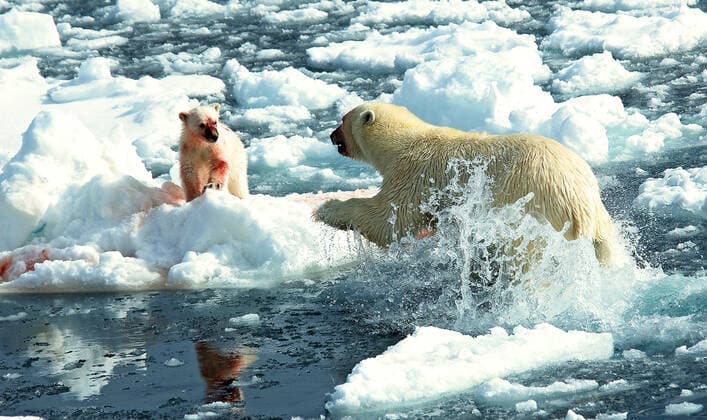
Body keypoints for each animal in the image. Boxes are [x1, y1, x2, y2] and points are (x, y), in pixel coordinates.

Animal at [315, 102, 620, 267]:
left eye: (342, 120)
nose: (331, 135)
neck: (404, 143)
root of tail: (582, 201)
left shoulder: (416, 176)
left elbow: (388, 221)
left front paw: (325, 208)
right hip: (599, 217)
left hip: (537, 203)